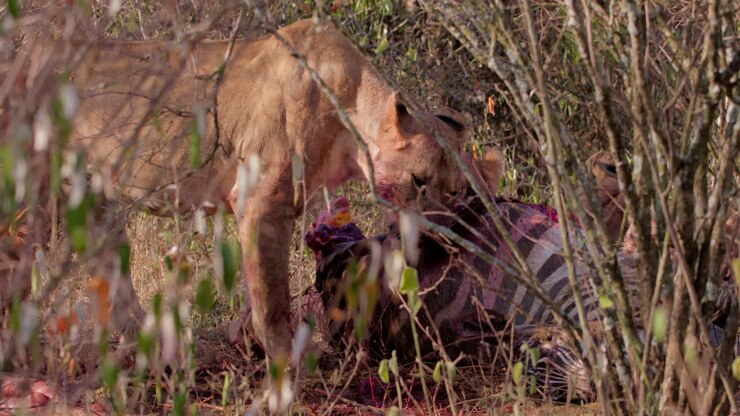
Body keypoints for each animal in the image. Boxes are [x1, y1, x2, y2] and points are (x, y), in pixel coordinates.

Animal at [19, 18, 468, 357]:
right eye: (419, 181)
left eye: (456, 190)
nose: (442, 234)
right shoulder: (261, 201)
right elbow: (272, 303)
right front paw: (288, 370)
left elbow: (258, 295)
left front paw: (252, 347)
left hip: (94, 202)